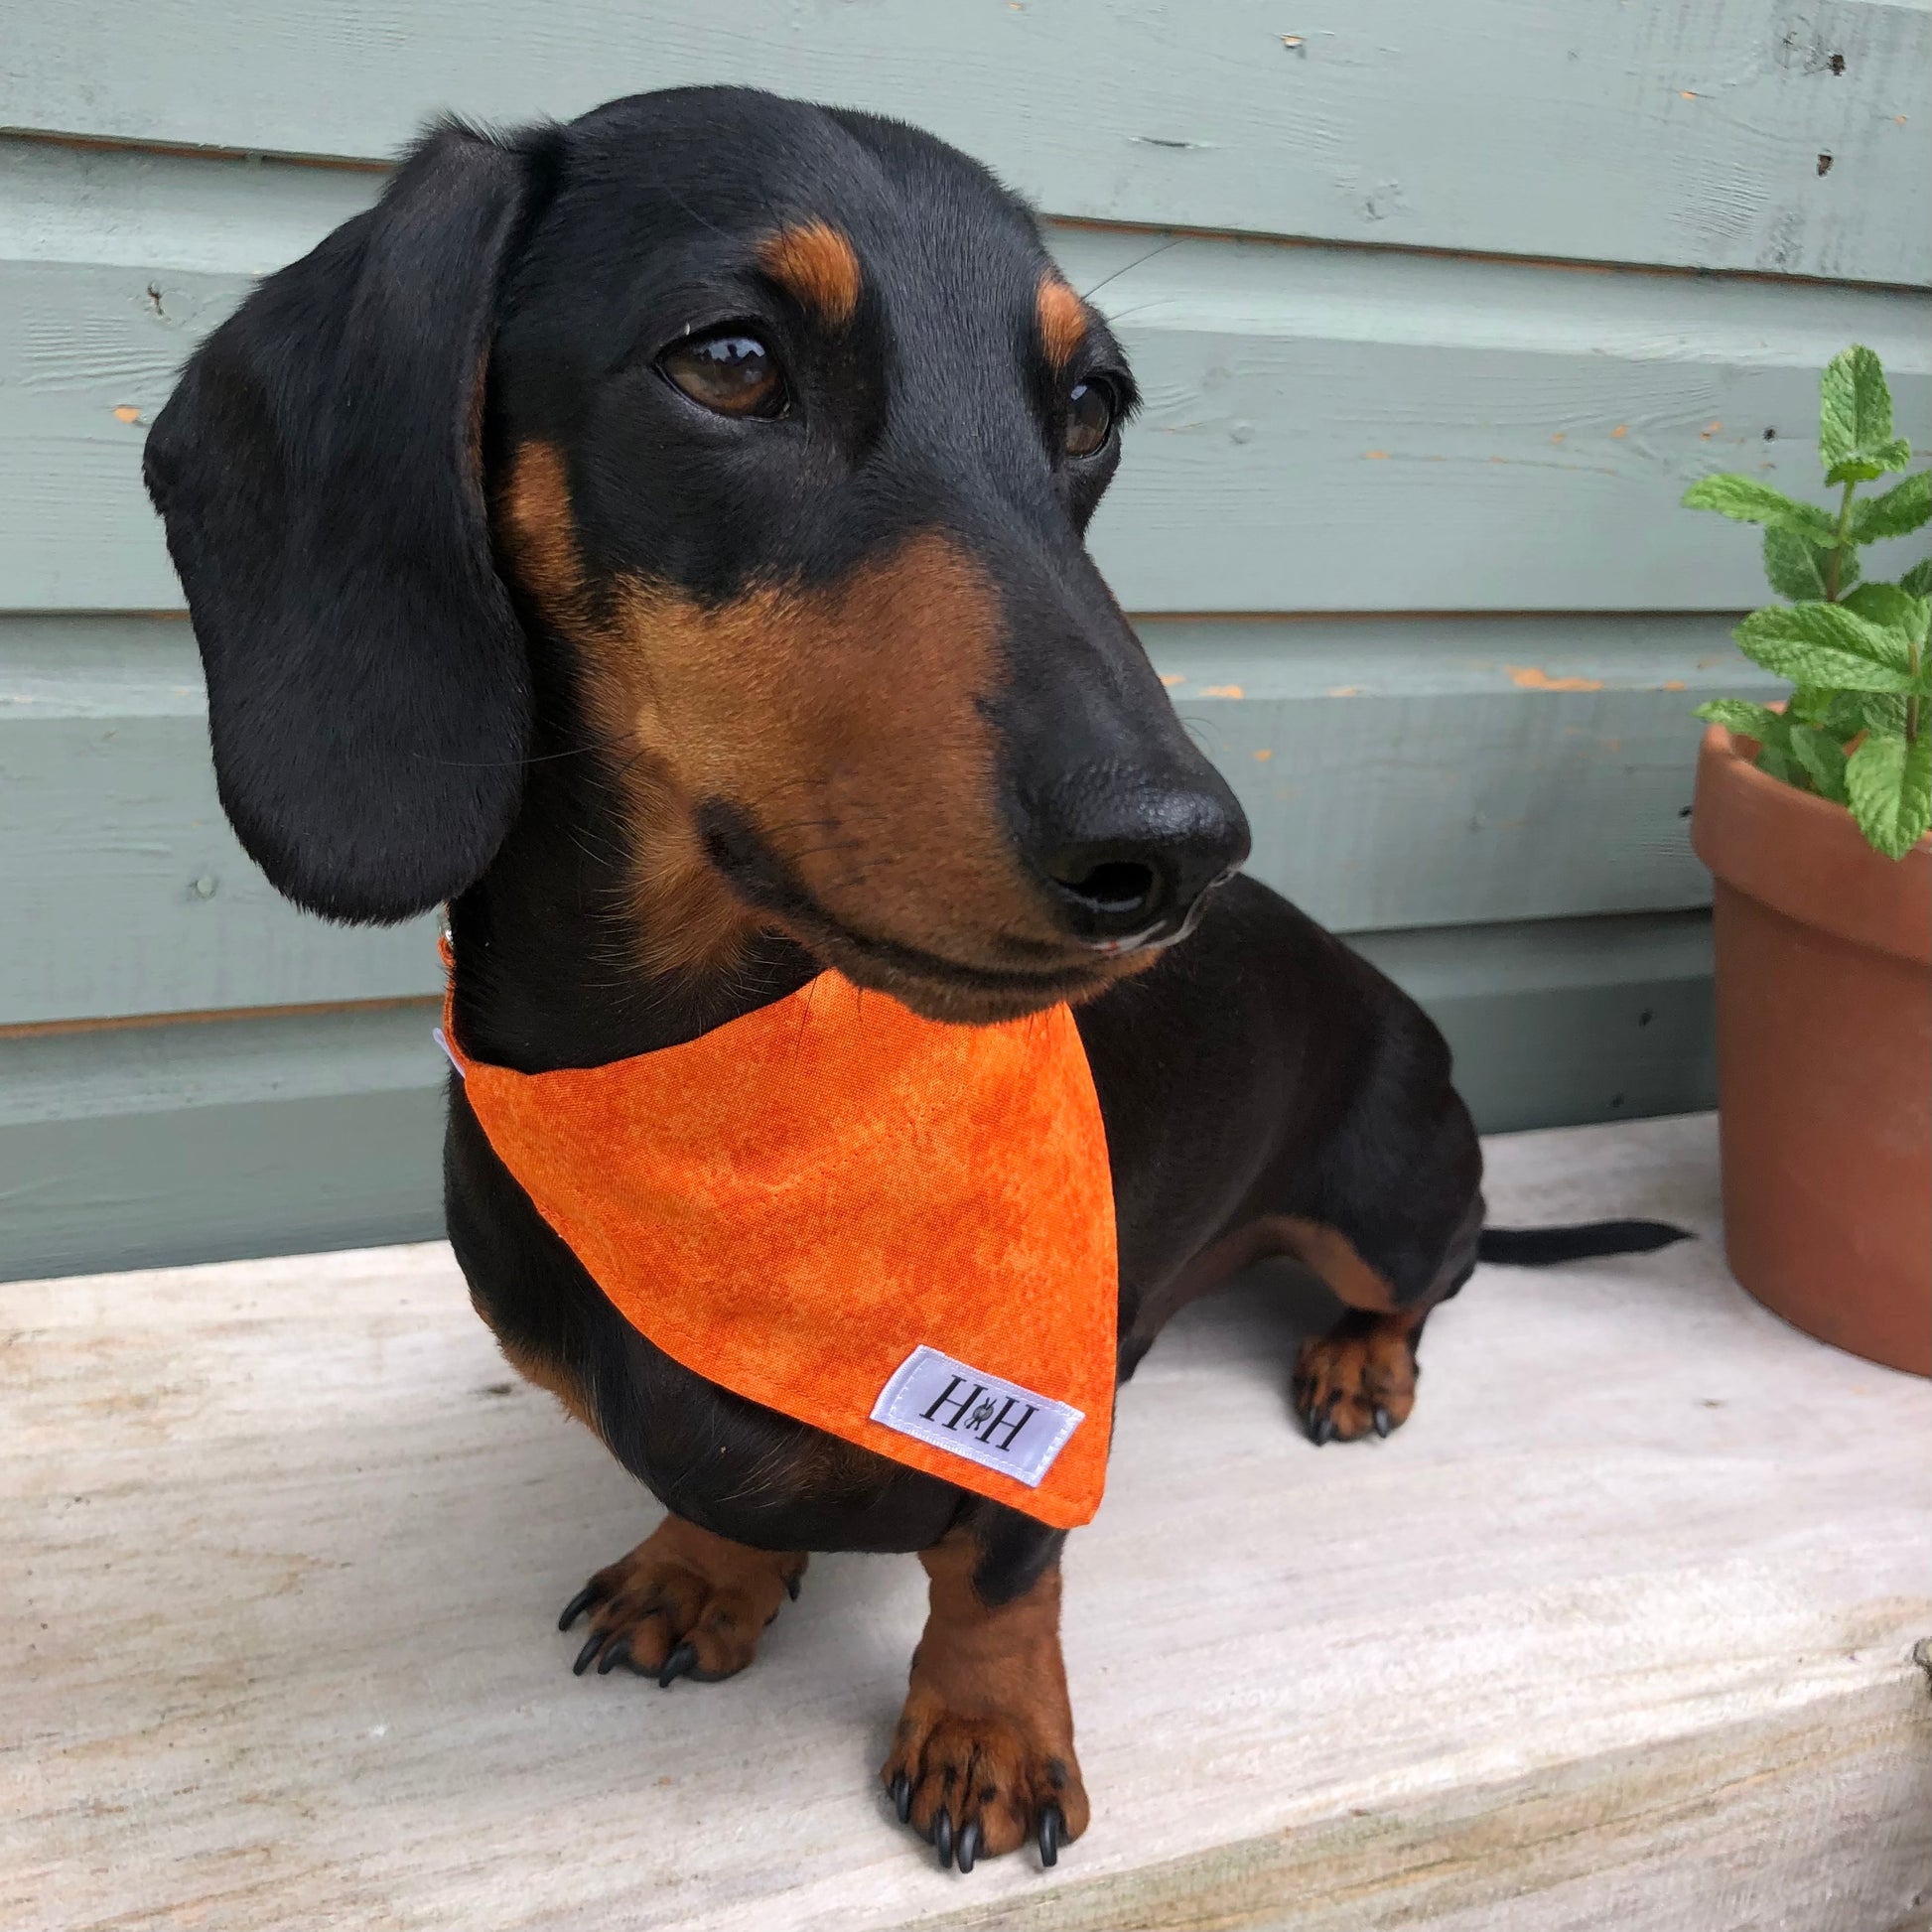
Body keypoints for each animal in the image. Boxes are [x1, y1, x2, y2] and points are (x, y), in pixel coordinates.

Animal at [143, 90, 1684, 1869]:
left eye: (1087, 406)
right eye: (729, 359)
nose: (1177, 850)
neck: (708, 1089)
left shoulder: (1046, 1417)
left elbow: (1006, 1569)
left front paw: (987, 1725)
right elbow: (723, 1497)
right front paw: (707, 1573)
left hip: (1389, 1191)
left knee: (1434, 1276)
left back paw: (1363, 1357)